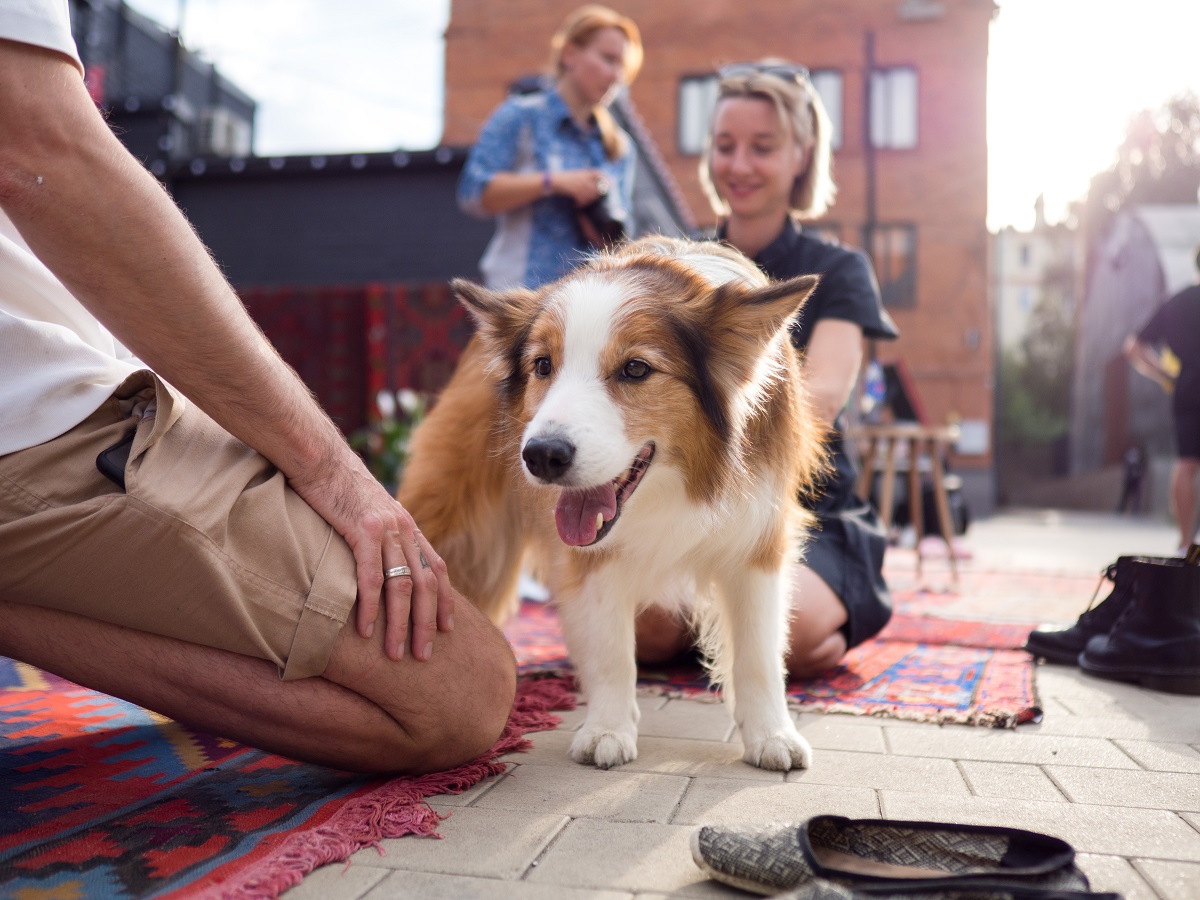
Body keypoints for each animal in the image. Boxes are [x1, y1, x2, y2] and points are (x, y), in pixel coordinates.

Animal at [400, 236, 825, 772]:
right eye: (543, 365)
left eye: (636, 369)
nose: (542, 456)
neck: (675, 485)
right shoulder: (590, 557)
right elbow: (609, 649)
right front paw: (607, 728)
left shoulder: (758, 540)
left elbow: (759, 653)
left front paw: (772, 734)